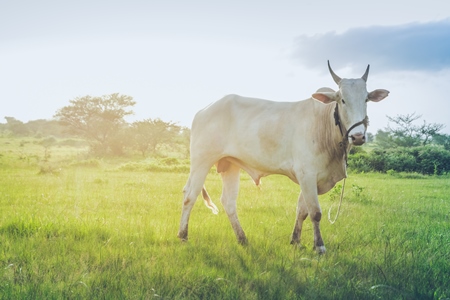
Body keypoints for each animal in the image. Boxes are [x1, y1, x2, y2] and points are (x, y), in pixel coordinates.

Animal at [178, 62, 388, 254]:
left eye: (366, 99)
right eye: (342, 100)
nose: (358, 136)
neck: (325, 123)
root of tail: (203, 110)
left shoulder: (310, 178)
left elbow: (302, 210)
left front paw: (295, 241)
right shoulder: (307, 174)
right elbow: (315, 212)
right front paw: (319, 246)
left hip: (230, 164)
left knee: (228, 201)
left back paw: (242, 239)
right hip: (201, 161)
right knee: (190, 195)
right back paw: (183, 236)